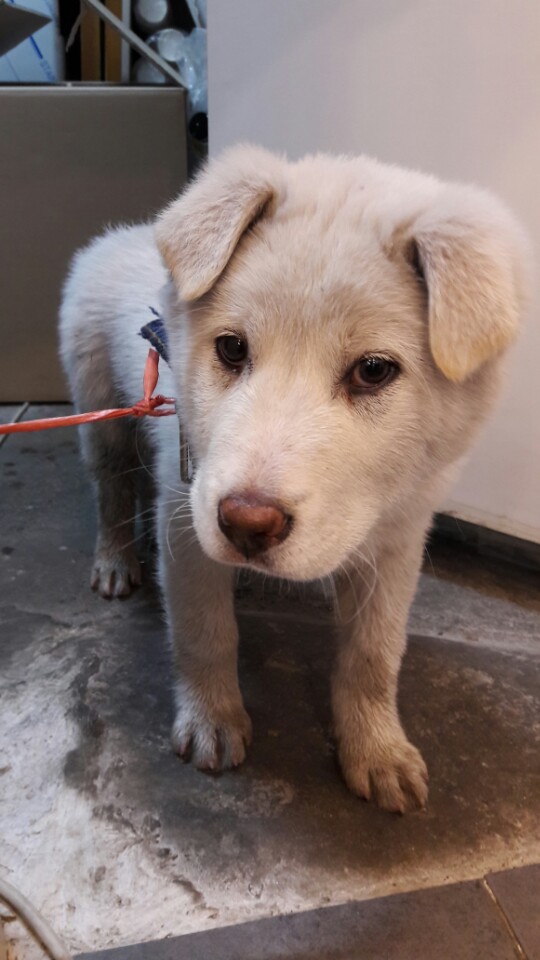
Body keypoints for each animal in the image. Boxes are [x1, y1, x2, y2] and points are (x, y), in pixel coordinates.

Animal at [59, 145, 528, 812]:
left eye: (373, 371)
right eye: (231, 349)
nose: (245, 525)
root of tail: (122, 235)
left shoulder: (399, 539)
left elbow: (374, 654)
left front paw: (377, 750)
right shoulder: (187, 515)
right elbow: (205, 630)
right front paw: (212, 721)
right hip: (101, 412)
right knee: (112, 492)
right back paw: (116, 561)